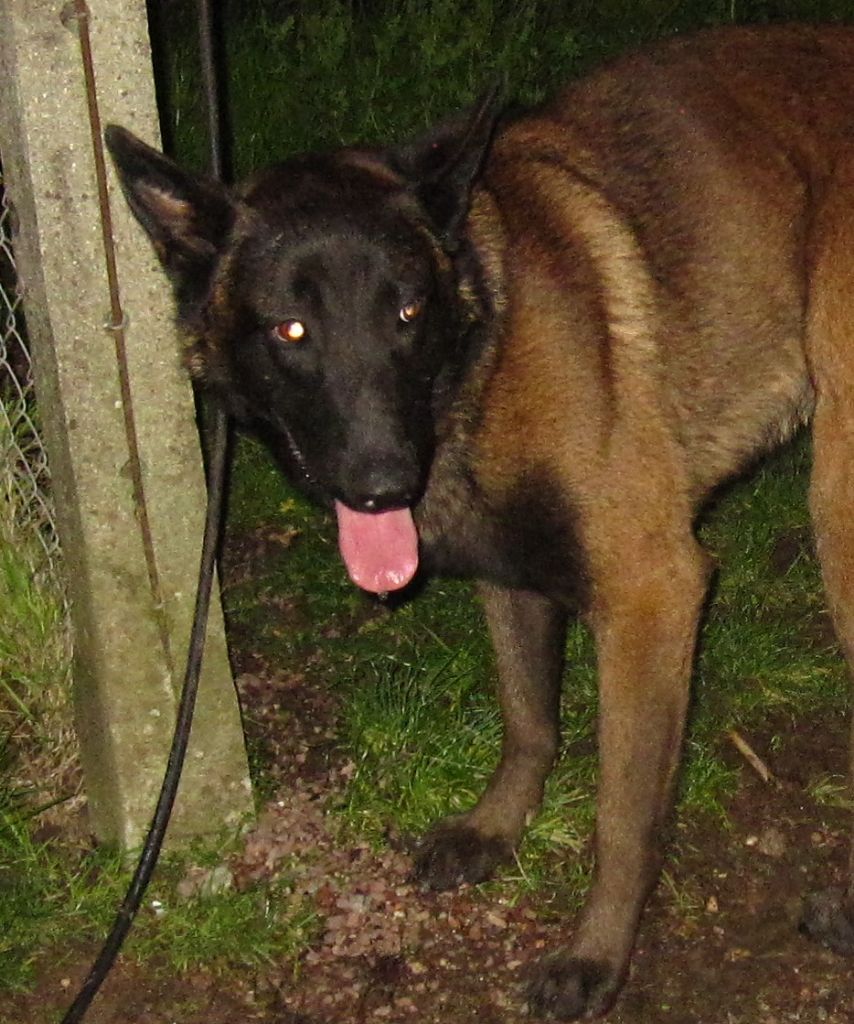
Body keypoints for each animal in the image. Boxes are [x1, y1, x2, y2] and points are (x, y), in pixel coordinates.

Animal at [106, 24, 854, 1019]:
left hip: (838, 504)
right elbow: (529, 719)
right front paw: (499, 827)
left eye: (406, 311)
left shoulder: (651, 595)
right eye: (291, 330)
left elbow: (624, 816)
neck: (478, 362)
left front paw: (598, 952)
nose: (381, 483)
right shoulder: (510, 573)